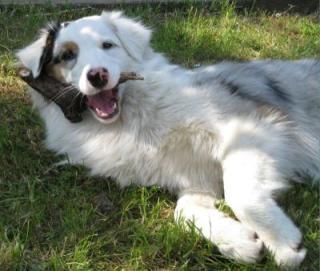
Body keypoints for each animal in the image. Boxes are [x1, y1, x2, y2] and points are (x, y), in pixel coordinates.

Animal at [17, 11, 320, 270]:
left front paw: (284, 244)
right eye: (67, 55)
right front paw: (238, 242)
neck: (131, 120)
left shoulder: (254, 126)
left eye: (108, 45)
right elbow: (184, 211)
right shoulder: (196, 178)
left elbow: (240, 195)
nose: (97, 75)